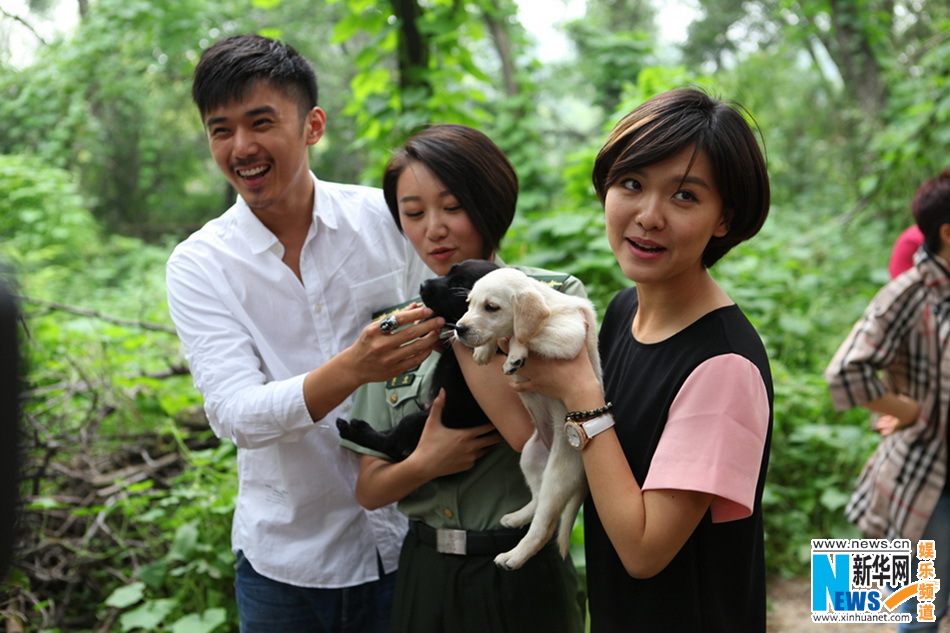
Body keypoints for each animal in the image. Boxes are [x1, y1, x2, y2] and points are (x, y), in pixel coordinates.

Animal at [336, 260, 502, 462]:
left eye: (458, 286)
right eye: (450, 270)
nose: (423, 285)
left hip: (418, 421)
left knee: (392, 445)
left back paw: (354, 431)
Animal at [456, 266, 604, 568]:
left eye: (491, 307)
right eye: (469, 304)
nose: (458, 328)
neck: (548, 306)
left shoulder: (569, 332)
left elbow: (519, 334)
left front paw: (515, 354)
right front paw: (483, 352)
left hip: (559, 474)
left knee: (545, 524)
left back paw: (514, 556)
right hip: (530, 457)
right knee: (536, 500)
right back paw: (516, 517)